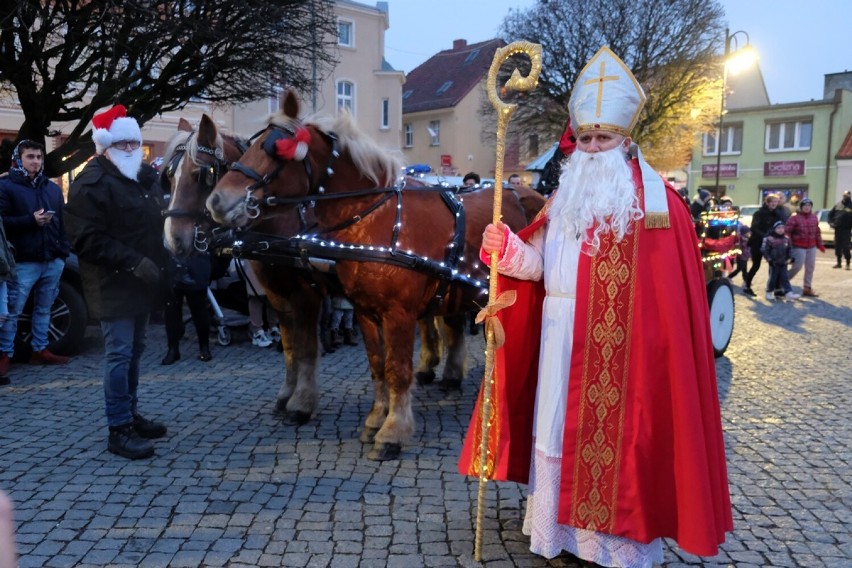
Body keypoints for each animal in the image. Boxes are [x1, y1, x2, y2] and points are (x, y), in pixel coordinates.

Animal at [205, 91, 540, 460]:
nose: (217, 201)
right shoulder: (364, 311)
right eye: (250, 146)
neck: (377, 220)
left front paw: (393, 432)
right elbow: (377, 365)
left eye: (274, 150)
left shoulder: (396, 314)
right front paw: (376, 419)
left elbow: (397, 370)